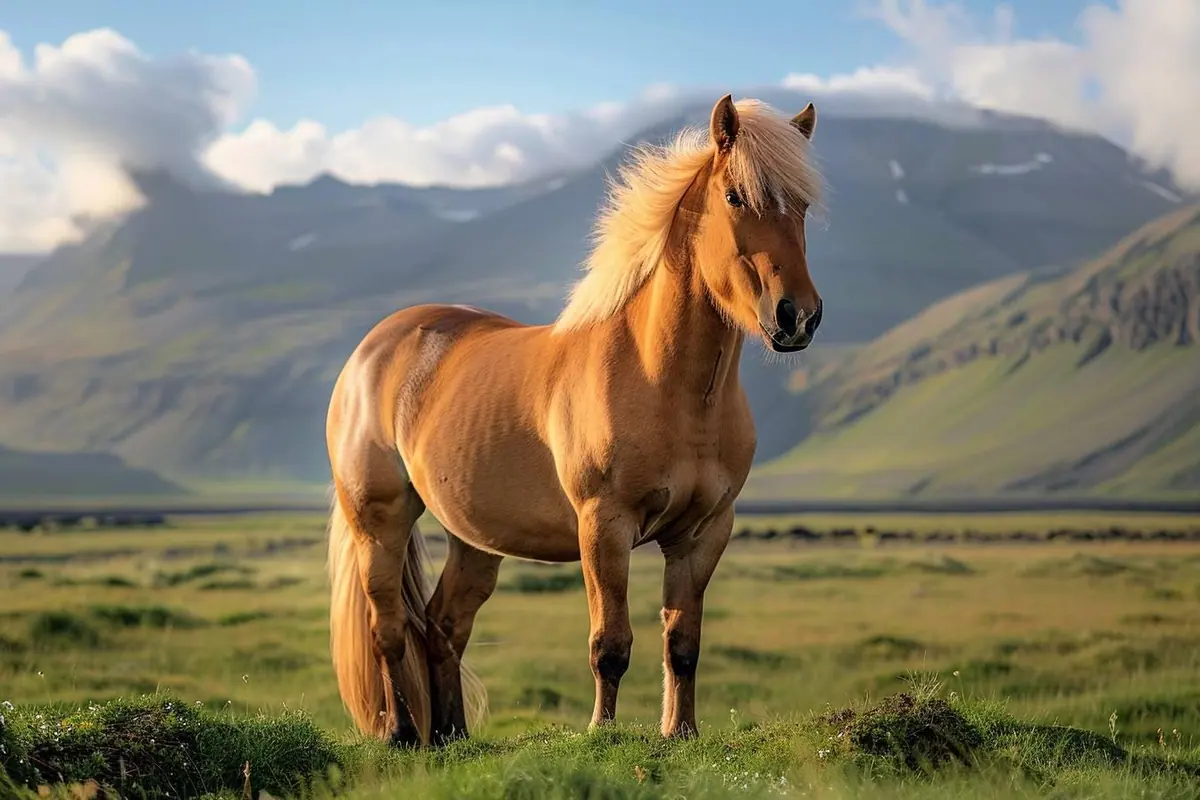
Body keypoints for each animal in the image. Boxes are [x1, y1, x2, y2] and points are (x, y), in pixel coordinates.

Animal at [326, 93, 825, 748]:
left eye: (804, 205)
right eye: (736, 196)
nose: (797, 316)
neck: (672, 388)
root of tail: (371, 350)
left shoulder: (704, 531)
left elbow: (683, 643)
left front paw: (680, 733)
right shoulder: (603, 526)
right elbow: (609, 645)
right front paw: (601, 731)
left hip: (474, 539)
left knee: (442, 626)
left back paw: (452, 736)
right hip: (378, 522)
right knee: (387, 627)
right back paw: (403, 734)